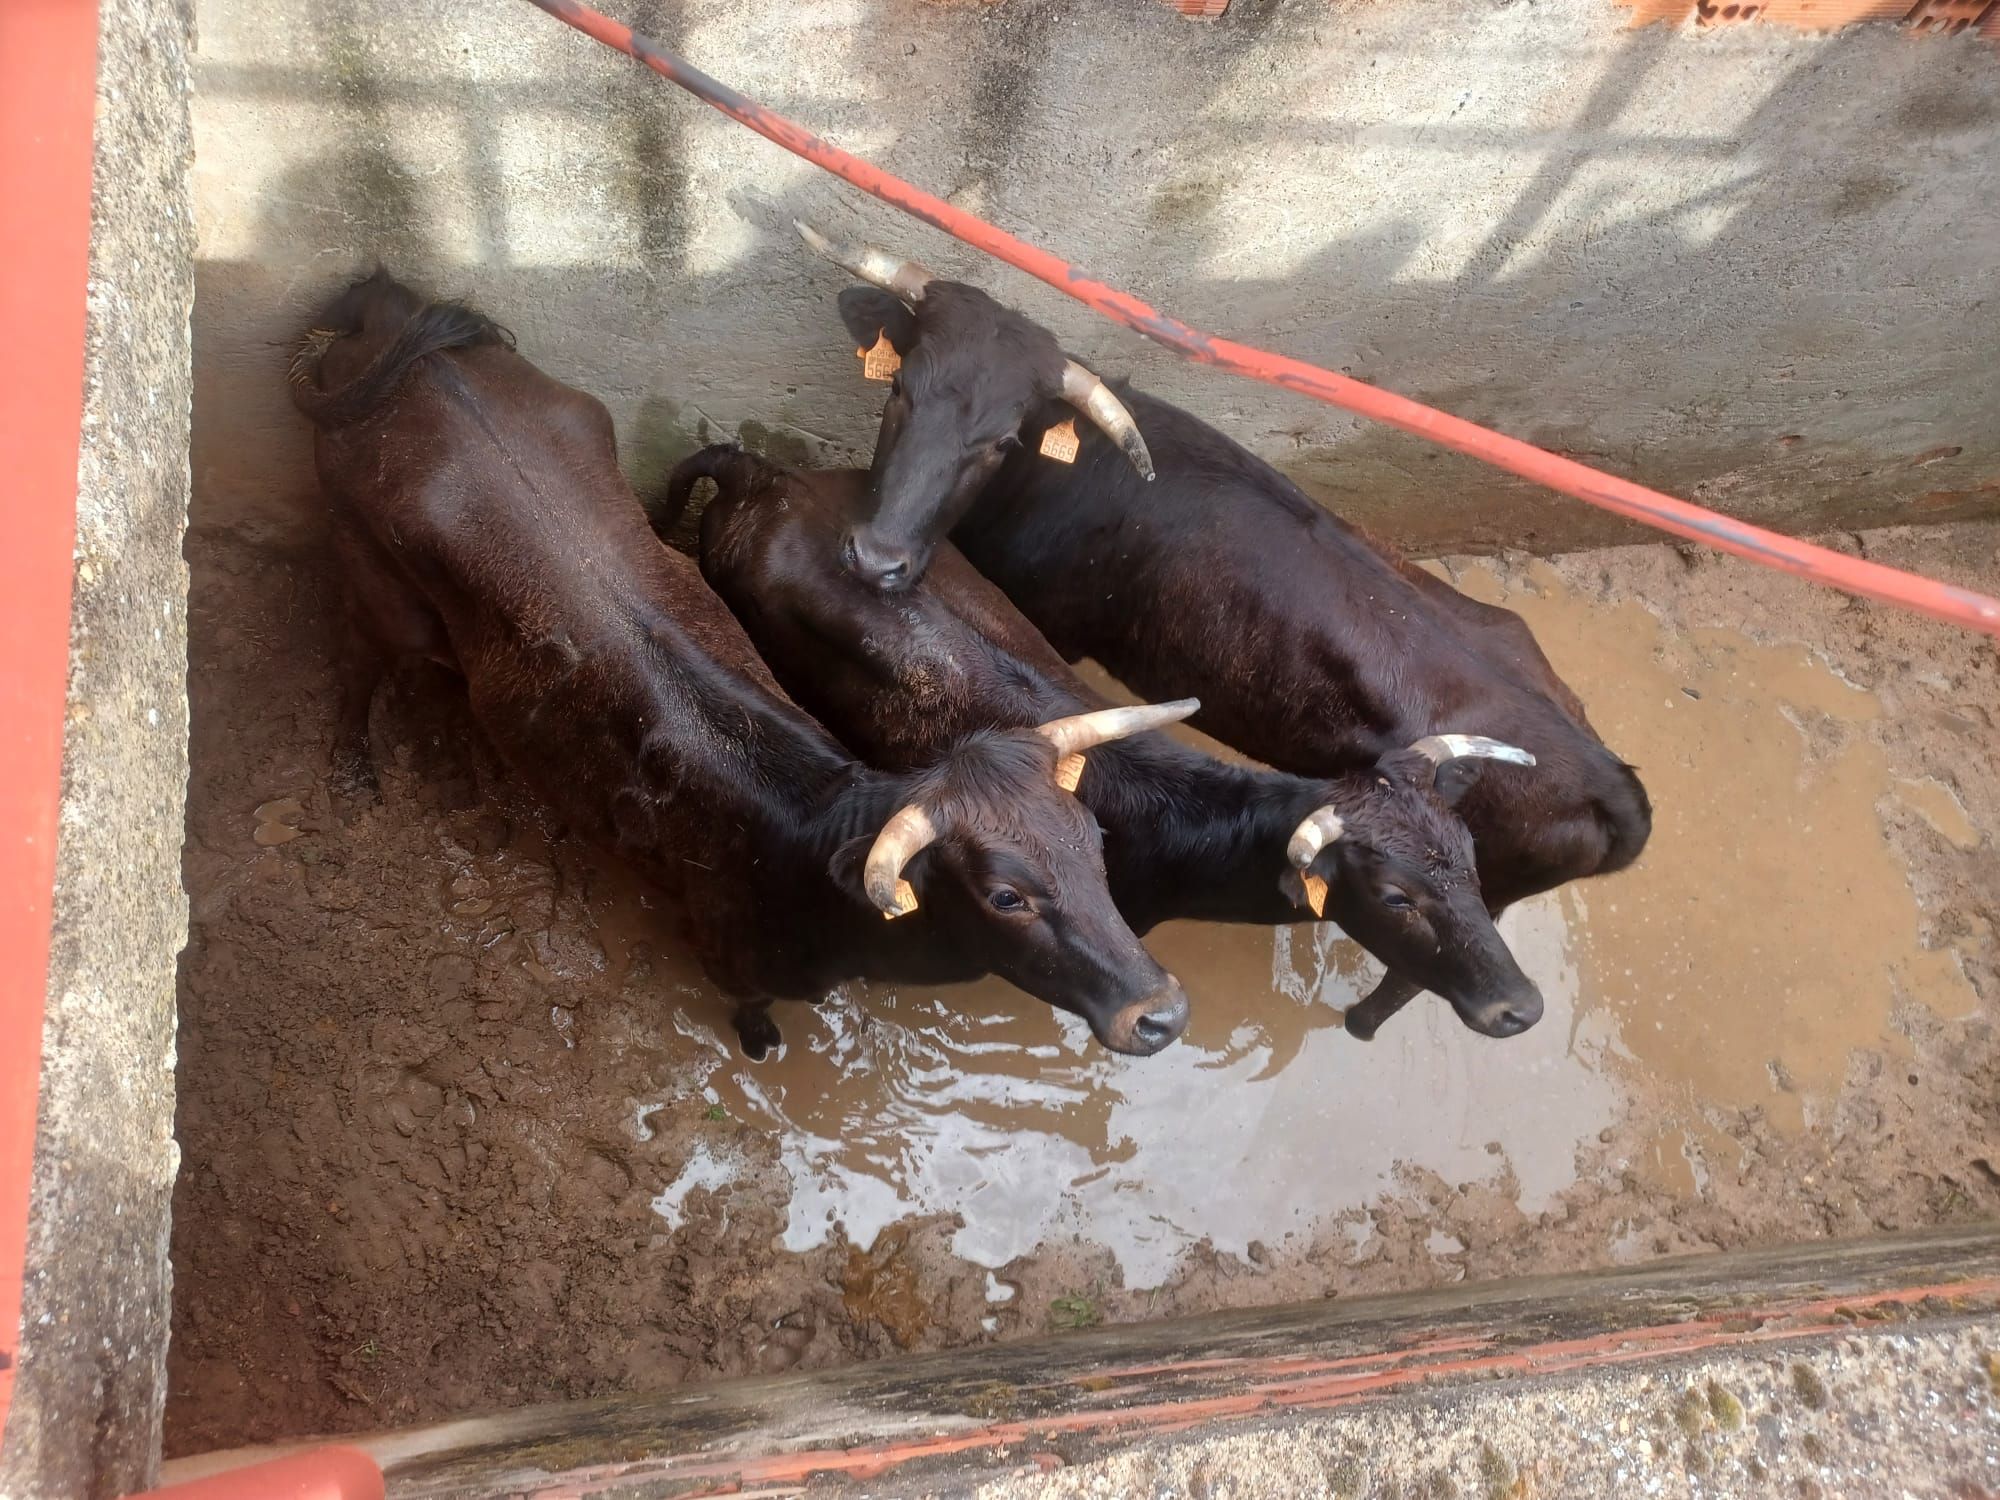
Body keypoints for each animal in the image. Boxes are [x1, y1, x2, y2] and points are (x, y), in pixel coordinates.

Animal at [292, 274, 1200, 1072]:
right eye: (1007, 896)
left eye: (1093, 841)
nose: (1161, 1013)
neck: (797, 847)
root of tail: (401, 323)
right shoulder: (728, 964)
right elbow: (754, 1017)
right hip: (375, 579)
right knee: (359, 656)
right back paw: (353, 765)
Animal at [796, 226, 1656, 1048]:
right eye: (899, 391)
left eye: (1000, 440)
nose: (875, 558)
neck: (1068, 477)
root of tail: (1613, 778)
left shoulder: (1057, 627)